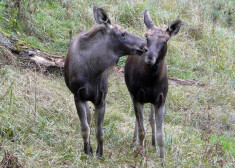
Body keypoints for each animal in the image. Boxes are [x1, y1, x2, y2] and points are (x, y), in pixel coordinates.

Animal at [64, 6, 145, 156]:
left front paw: (100, 153)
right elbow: (85, 128)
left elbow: (99, 131)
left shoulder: (101, 99)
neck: (92, 70)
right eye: (123, 33)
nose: (143, 45)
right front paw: (87, 151)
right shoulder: (78, 96)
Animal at [125, 10, 182, 159]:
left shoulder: (160, 100)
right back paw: (134, 143)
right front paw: (140, 154)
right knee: (139, 120)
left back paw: (153, 143)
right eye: (147, 37)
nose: (150, 57)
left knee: (151, 118)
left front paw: (162, 159)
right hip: (133, 94)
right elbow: (141, 130)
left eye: (164, 41)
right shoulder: (137, 97)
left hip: (150, 100)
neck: (151, 81)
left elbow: (162, 136)